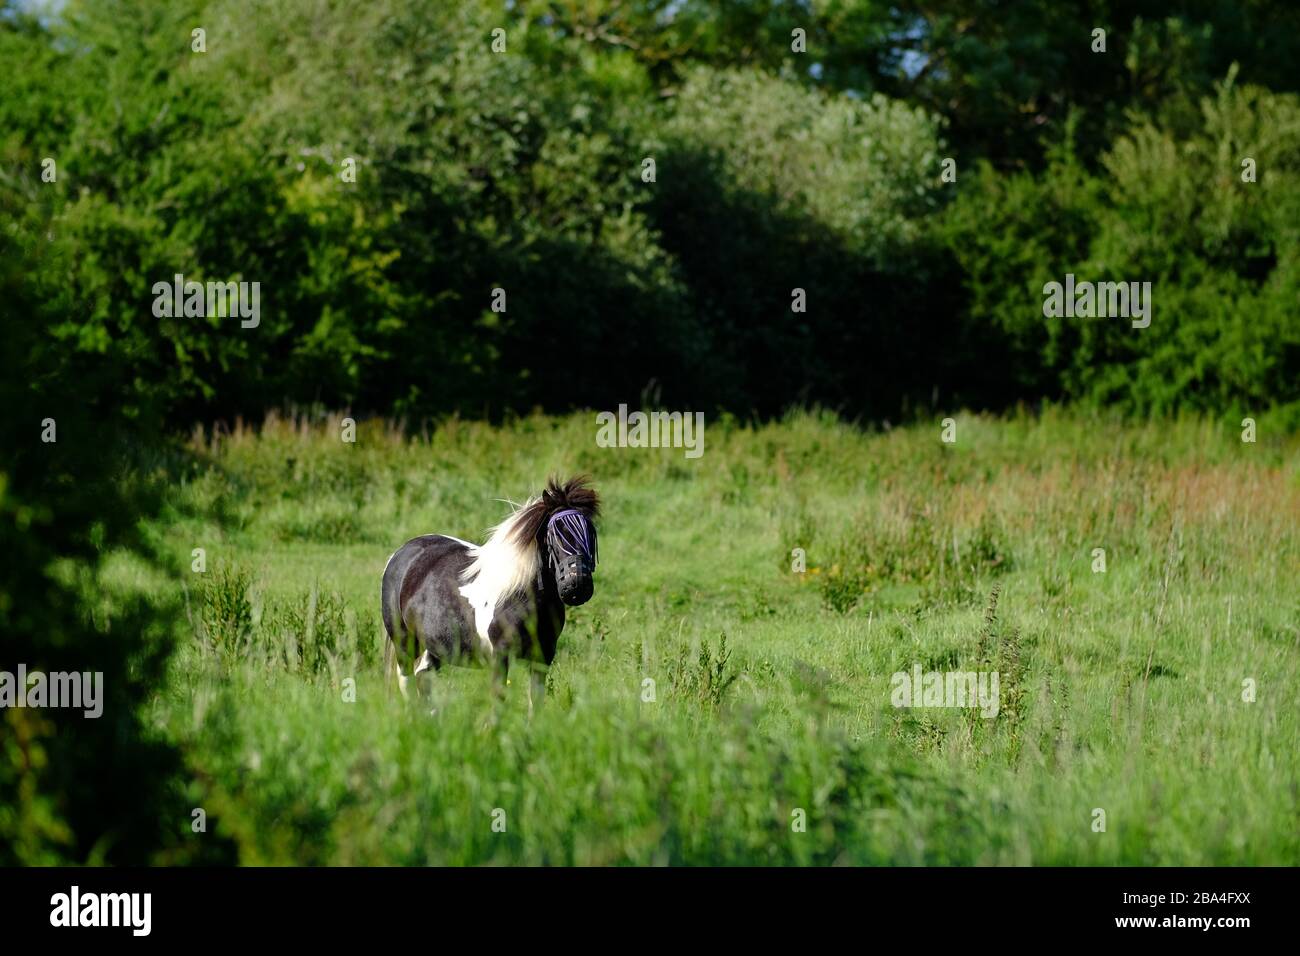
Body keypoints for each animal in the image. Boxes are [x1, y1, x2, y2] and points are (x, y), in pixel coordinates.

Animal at [380, 475, 600, 713]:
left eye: (591, 533)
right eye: (555, 534)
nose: (578, 585)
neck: (520, 598)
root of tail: (402, 552)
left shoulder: (543, 656)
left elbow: (536, 703)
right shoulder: (500, 658)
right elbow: (498, 702)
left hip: (436, 644)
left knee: (423, 676)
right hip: (404, 640)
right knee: (407, 682)